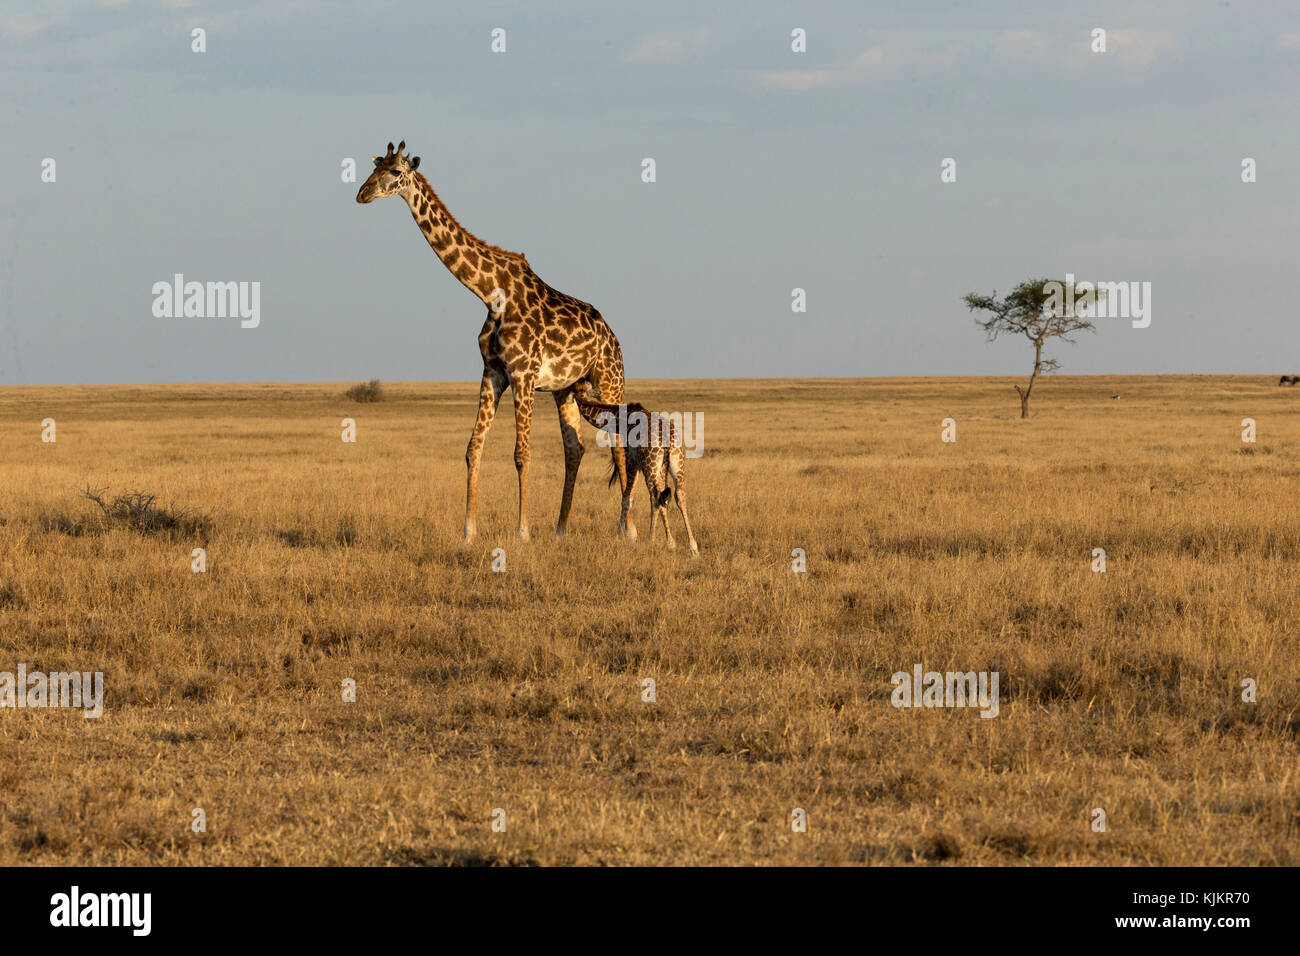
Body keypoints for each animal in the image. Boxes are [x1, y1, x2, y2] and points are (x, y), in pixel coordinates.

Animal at [356, 143, 629, 546]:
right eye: (375, 167)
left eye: (395, 172)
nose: (362, 194)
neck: (490, 292)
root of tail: (612, 336)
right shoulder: (493, 372)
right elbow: (474, 448)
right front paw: (468, 531)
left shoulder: (523, 374)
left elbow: (521, 454)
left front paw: (523, 532)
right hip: (566, 388)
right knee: (575, 448)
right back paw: (561, 529)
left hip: (610, 379)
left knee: (622, 444)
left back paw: (628, 530)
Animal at [569, 387, 691, 556]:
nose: (573, 396)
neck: (618, 419)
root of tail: (668, 440)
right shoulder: (658, 467)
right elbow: (662, 499)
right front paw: (671, 543)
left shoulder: (632, 461)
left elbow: (627, 498)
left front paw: (617, 537)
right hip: (675, 463)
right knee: (678, 495)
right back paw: (693, 547)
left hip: (650, 464)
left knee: (655, 497)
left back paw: (651, 540)